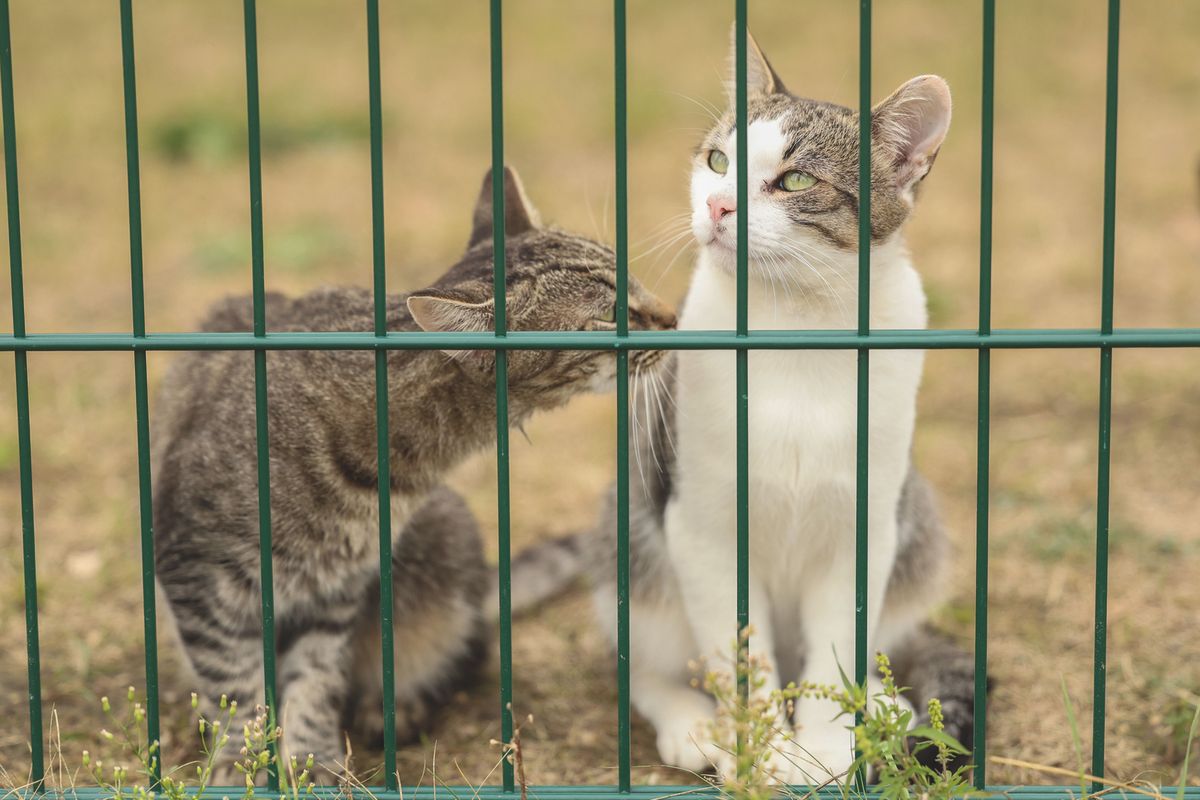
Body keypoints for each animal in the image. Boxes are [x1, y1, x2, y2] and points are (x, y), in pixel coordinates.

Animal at [585, 35, 979, 782]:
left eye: (795, 182)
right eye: (718, 162)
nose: (717, 206)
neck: (793, 326)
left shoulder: (866, 521)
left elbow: (839, 642)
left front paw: (824, 747)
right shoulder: (702, 525)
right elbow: (738, 651)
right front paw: (758, 747)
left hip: (914, 524)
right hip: (633, 533)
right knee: (642, 653)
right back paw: (688, 720)